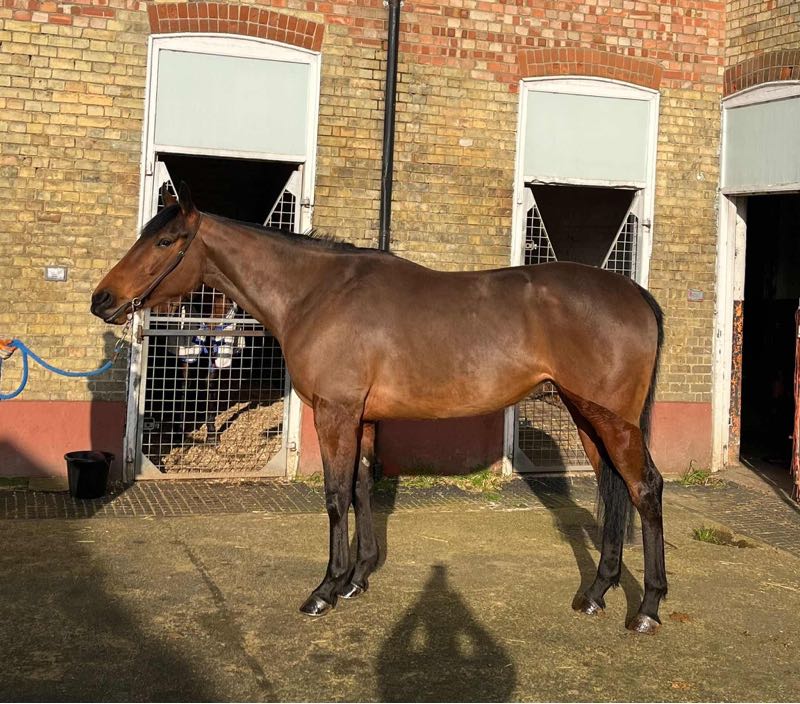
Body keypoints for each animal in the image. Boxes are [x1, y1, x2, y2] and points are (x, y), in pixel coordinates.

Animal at [92, 183, 667, 634]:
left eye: (165, 241)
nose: (102, 299)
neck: (317, 294)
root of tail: (634, 293)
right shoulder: (362, 418)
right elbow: (362, 487)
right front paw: (357, 578)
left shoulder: (334, 413)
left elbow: (334, 494)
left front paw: (325, 589)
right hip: (585, 414)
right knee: (615, 489)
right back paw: (595, 593)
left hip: (611, 419)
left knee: (644, 488)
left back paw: (647, 608)